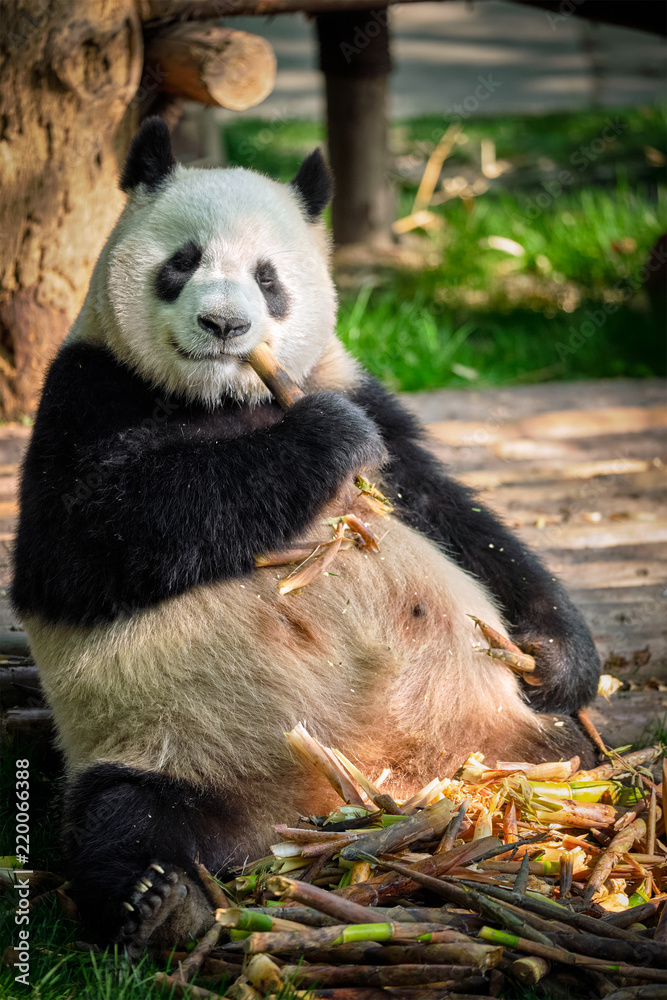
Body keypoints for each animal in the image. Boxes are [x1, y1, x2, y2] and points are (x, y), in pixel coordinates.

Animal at [12, 117, 600, 955]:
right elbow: (88, 537)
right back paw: (159, 901)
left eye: (267, 279)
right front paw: (320, 439)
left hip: (511, 743)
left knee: (570, 756)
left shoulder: (355, 387)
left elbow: (454, 516)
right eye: (182, 261)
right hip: (160, 742)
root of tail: (353, 799)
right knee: (122, 815)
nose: (224, 325)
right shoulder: (85, 392)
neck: (223, 397)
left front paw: (555, 657)